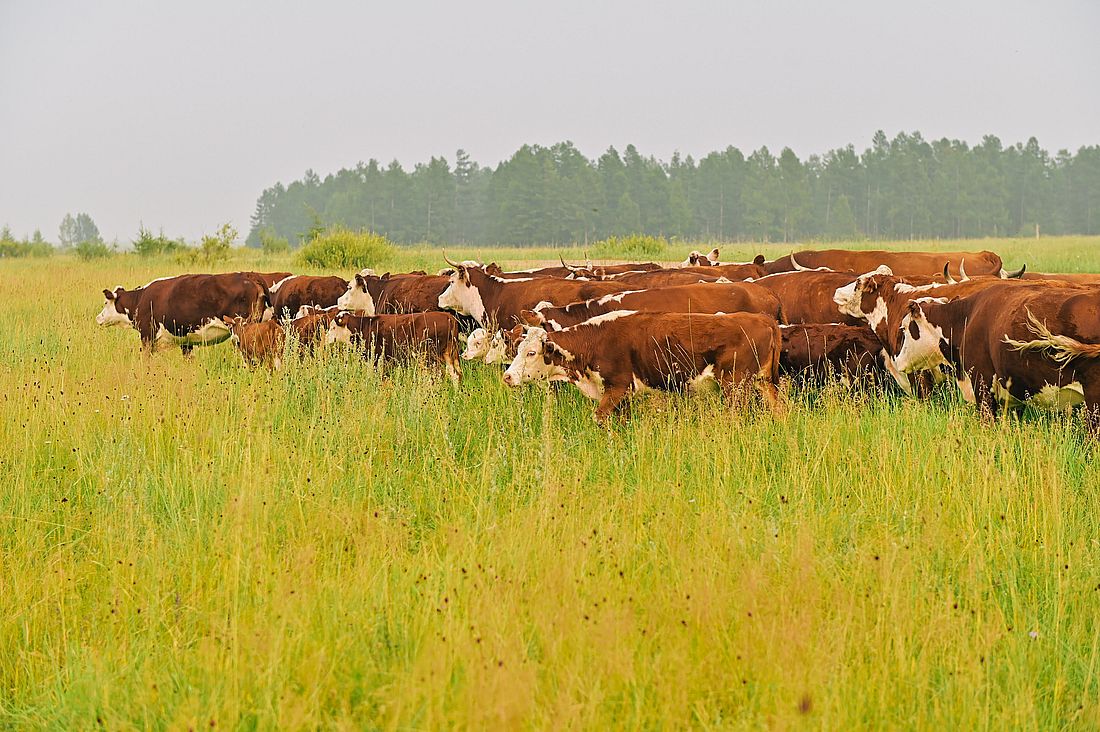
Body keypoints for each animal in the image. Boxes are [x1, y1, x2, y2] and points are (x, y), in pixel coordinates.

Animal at [99, 272, 270, 354]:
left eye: (105, 303)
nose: (98, 318)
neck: (140, 299)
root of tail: (249, 275)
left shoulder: (147, 335)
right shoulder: (186, 342)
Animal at [325, 310, 464, 385]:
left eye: (333, 327)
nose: (326, 340)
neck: (365, 326)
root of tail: (449, 317)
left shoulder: (376, 358)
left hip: (427, 357)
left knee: (435, 377)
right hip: (448, 355)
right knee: (455, 375)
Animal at [503, 310, 787, 422]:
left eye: (531, 352)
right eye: (517, 349)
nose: (507, 377)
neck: (596, 339)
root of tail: (761, 318)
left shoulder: (617, 387)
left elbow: (600, 417)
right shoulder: (624, 396)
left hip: (734, 386)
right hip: (763, 384)